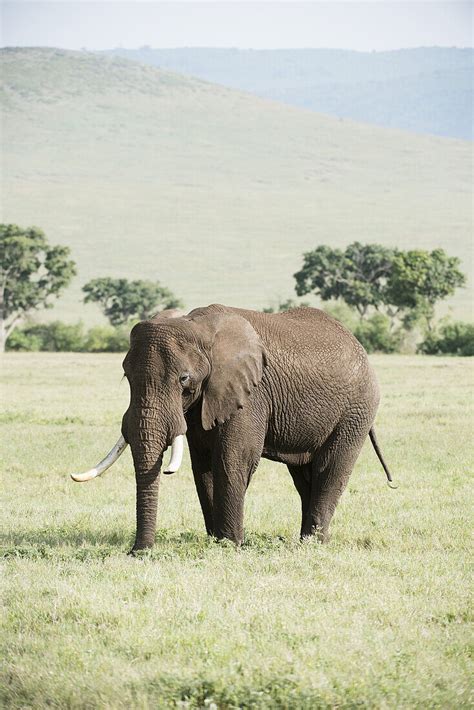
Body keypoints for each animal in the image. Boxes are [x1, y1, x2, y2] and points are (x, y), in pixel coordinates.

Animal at [71, 304, 392, 552]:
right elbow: (202, 465)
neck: (198, 326)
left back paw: (312, 545)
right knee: (304, 477)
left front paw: (231, 545)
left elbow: (232, 458)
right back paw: (303, 541)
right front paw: (217, 541)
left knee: (329, 469)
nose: (138, 552)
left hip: (357, 410)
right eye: (126, 376)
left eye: (184, 379)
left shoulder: (249, 393)